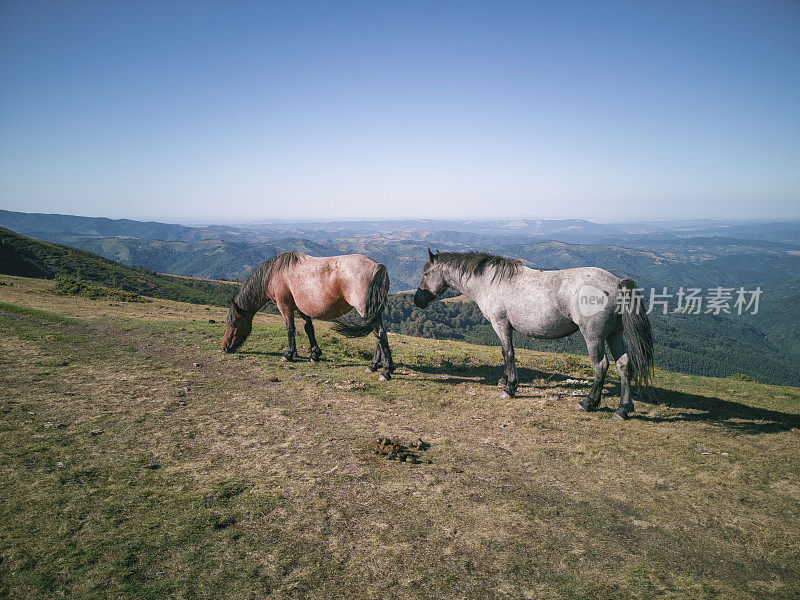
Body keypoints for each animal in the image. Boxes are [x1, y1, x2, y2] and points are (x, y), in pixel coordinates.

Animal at [220, 252, 396, 380]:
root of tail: (377, 266)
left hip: (364, 309)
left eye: (233, 324)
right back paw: (373, 365)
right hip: (373, 312)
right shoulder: (302, 309)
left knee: (379, 334)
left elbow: (290, 329)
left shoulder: (285, 306)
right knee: (377, 335)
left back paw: (385, 371)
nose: (225, 347)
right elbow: (309, 329)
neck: (275, 274)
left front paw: (289, 355)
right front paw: (314, 355)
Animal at [416, 248, 652, 418]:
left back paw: (588, 402)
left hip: (593, 336)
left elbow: (508, 353)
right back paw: (623, 409)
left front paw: (510, 387)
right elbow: (504, 353)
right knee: (623, 365)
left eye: (426, 273)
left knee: (601, 366)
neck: (488, 281)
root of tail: (617, 283)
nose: (418, 300)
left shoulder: (500, 324)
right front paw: (503, 380)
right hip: (614, 334)